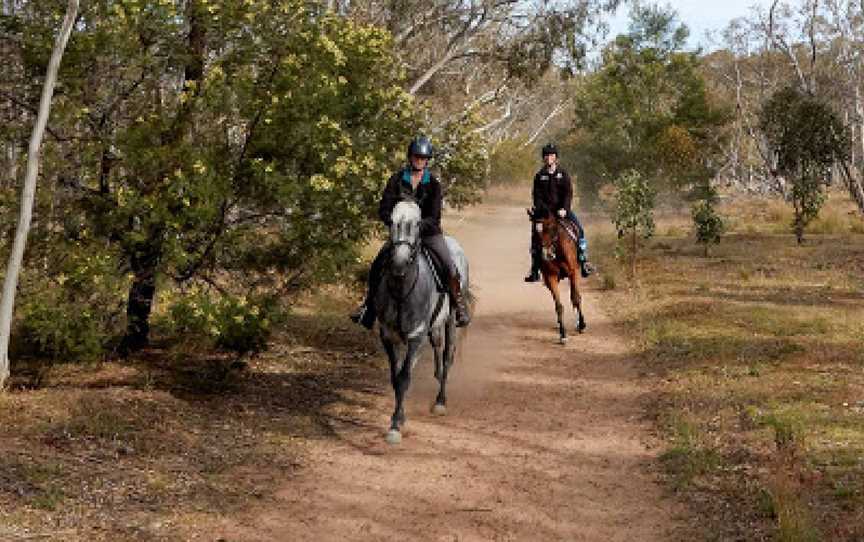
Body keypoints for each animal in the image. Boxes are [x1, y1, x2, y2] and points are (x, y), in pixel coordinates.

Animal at [376, 201, 470, 446]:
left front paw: (395, 426)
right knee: (436, 348)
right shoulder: (388, 337)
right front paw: (399, 418)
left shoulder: (415, 336)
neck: (402, 290)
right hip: (434, 326)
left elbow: (404, 378)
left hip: (450, 321)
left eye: (417, 223)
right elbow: (396, 377)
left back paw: (440, 401)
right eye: (392, 221)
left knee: (447, 356)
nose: (398, 264)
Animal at [528, 209, 588, 344]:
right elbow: (559, 306)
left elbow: (576, 298)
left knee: (575, 297)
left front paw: (582, 325)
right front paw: (563, 334)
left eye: (551, 228)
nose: (546, 254)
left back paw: (579, 323)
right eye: (534, 230)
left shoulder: (573, 272)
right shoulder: (551, 277)